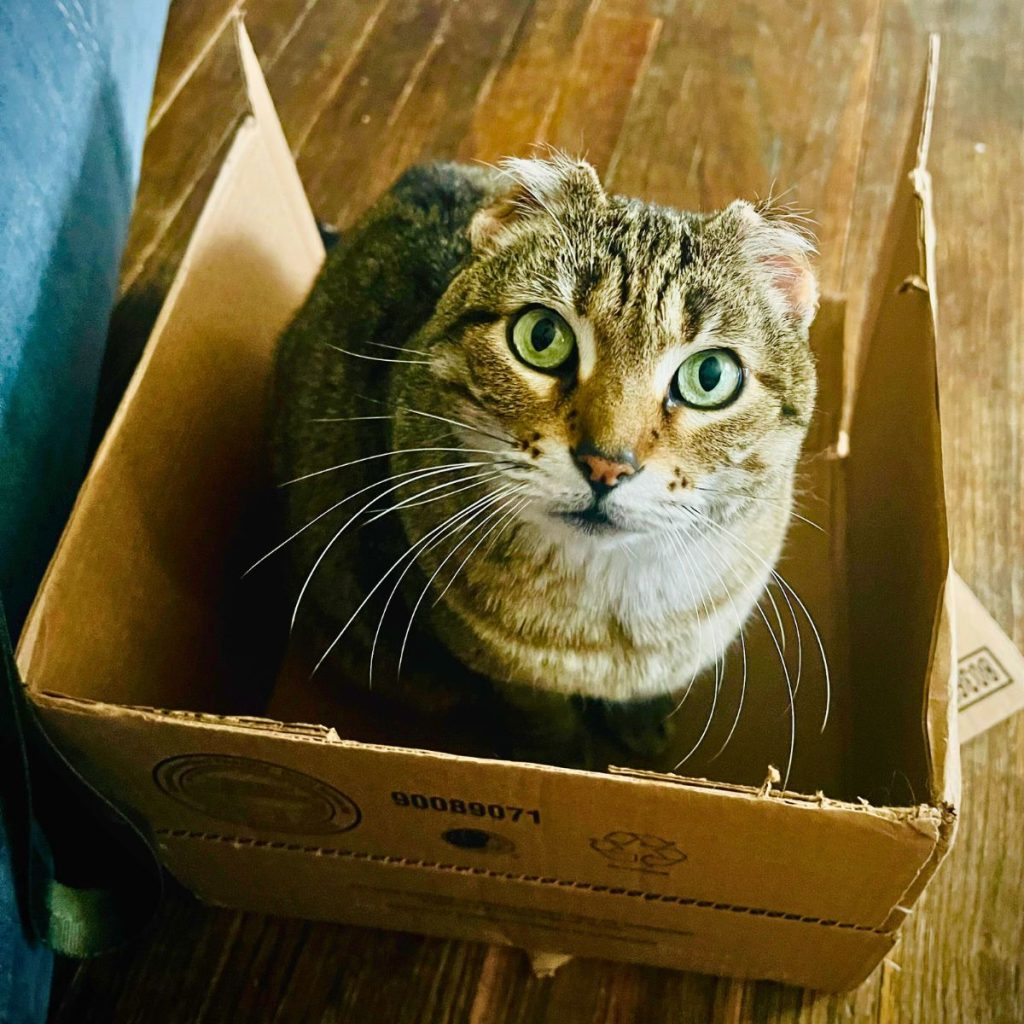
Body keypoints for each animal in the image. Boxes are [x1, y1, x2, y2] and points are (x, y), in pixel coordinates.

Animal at [270, 155, 815, 770]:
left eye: (710, 376)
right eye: (542, 336)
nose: (606, 465)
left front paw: (643, 729)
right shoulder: (501, 674)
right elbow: (546, 720)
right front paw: (566, 758)